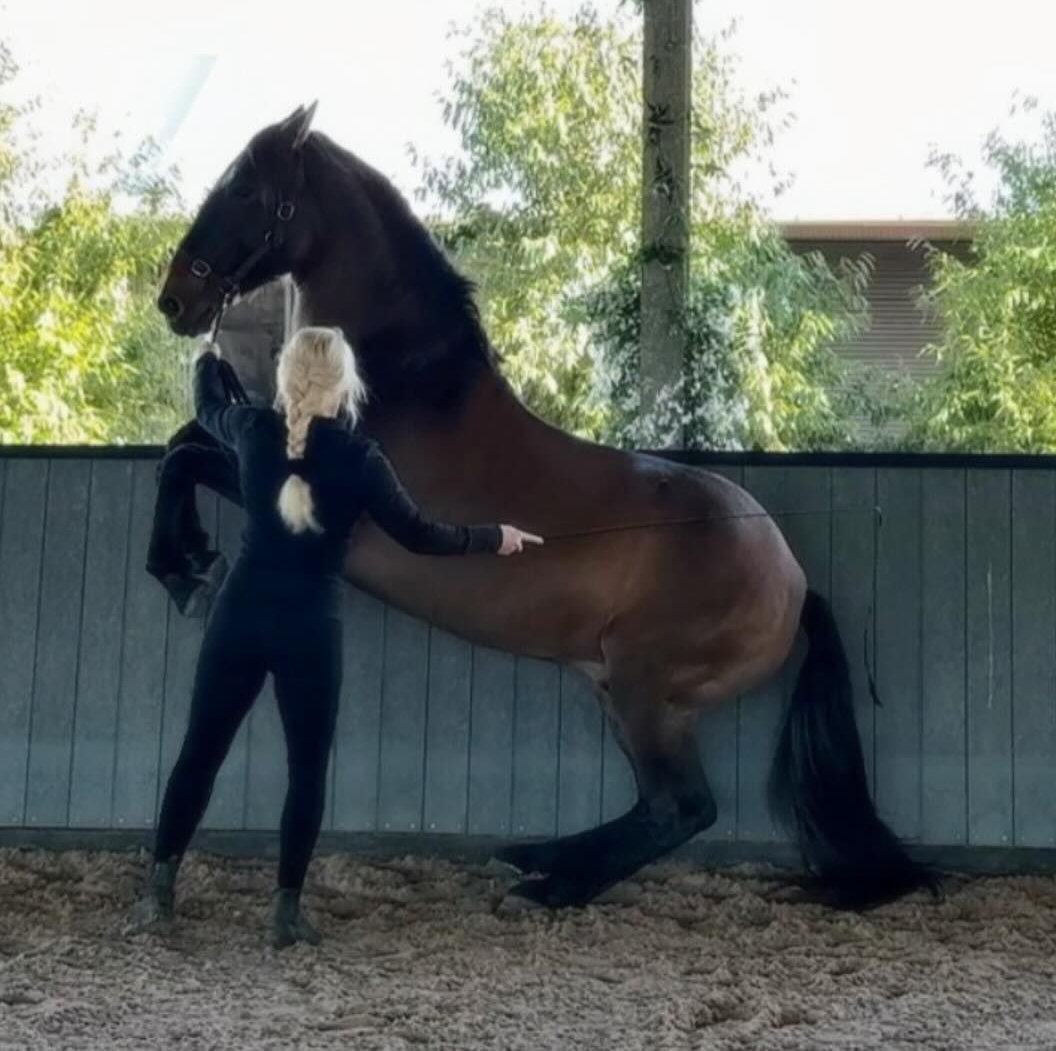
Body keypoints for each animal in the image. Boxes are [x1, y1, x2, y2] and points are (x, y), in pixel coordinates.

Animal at [153, 104, 938, 910]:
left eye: (245, 189)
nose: (175, 299)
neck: (401, 385)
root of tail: (793, 579)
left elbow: (183, 456)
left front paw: (184, 568)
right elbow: (184, 445)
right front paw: (188, 560)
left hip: (646, 692)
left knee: (681, 806)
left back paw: (552, 886)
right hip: (615, 691)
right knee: (654, 805)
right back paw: (538, 858)